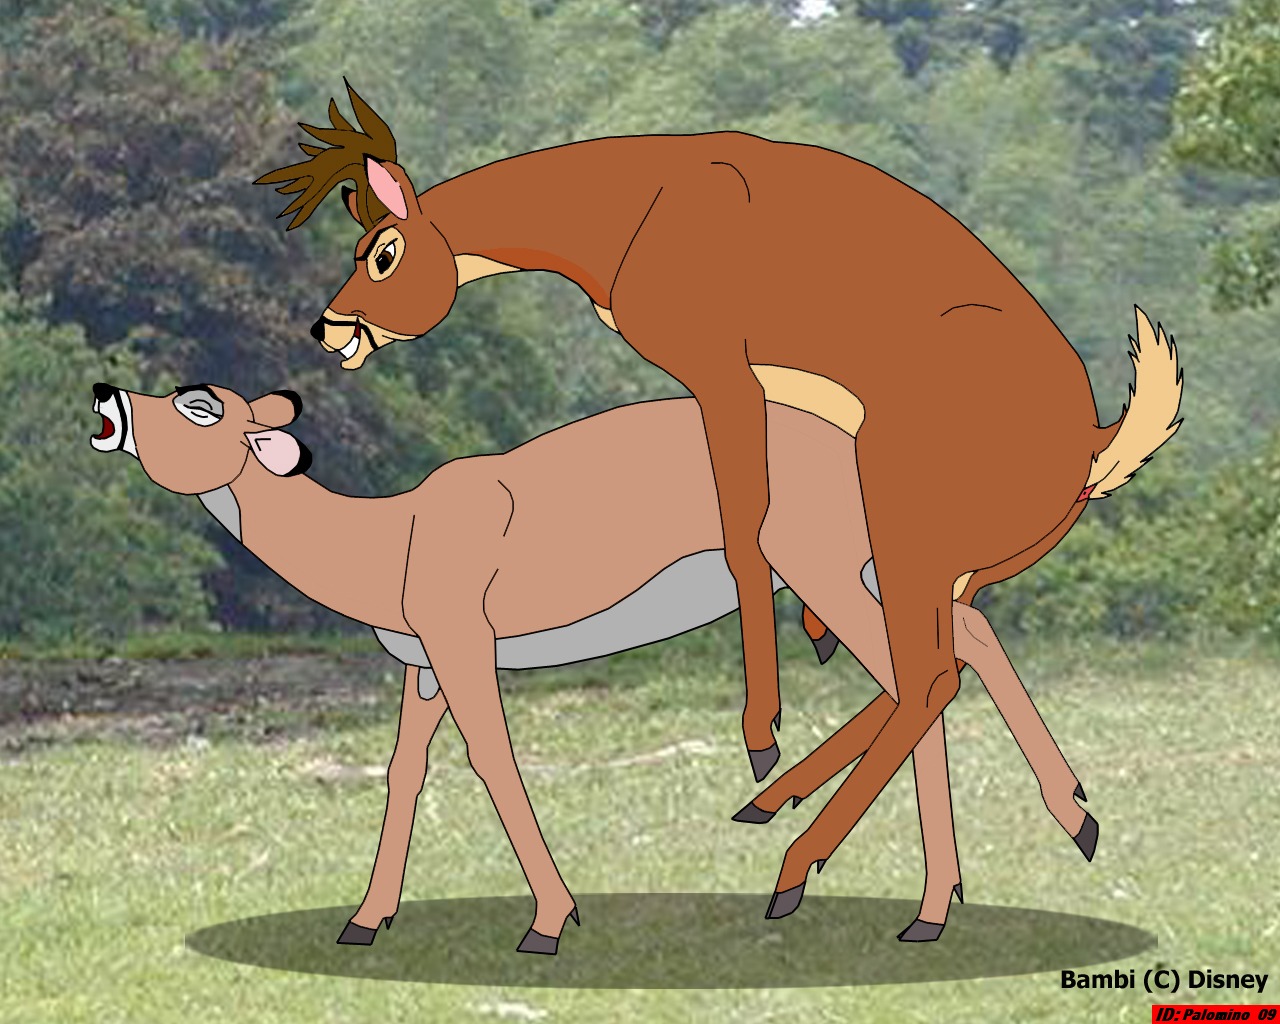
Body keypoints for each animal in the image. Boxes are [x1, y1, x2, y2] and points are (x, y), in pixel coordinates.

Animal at [89, 308, 1177, 948]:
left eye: (198, 402)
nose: (106, 398)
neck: (386, 546)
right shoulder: (420, 661)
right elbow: (404, 771)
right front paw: (366, 919)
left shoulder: (460, 631)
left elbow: (493, 759)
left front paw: (550, 919)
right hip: (871, 563)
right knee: (960, 640)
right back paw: (1037, 830)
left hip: (817, 555)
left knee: (927, 673)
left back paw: (847, 882)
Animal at [254, 82, 1184, 919]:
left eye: (383, 250)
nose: (329, 327)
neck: (630, 210)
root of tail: (1091, 447)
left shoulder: (719, 372)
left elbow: (744, 529)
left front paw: (760, 734)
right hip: (926, 553)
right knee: (946, 654)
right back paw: (1036, 824)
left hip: (901, 512)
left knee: (928, 674)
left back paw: (797, 860)